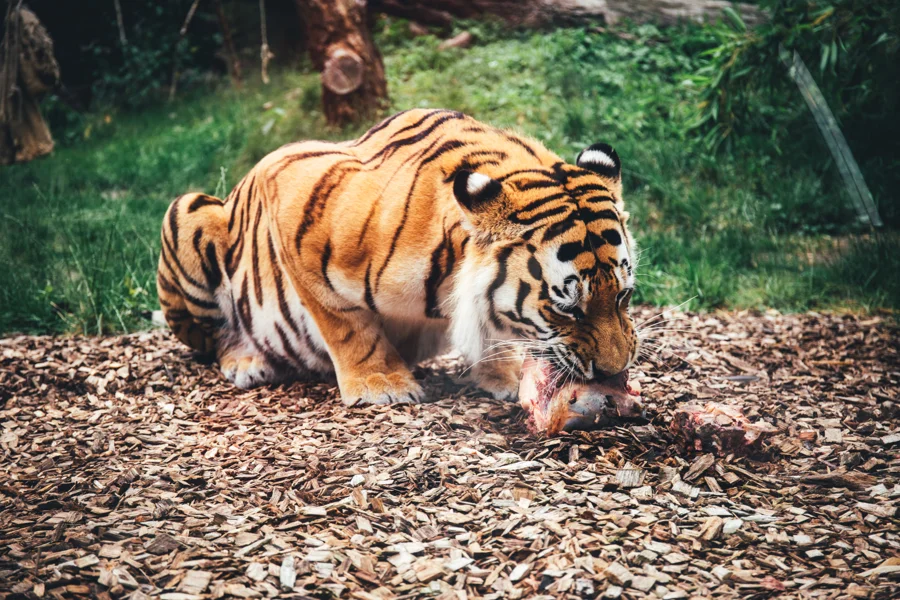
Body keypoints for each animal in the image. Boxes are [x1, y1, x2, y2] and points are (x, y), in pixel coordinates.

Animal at [157, 109, 639, 406]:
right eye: (567, 308)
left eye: (623, 296)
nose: (614, 371)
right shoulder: (290, 184)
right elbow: (347, 324)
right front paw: (380, 385)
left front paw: (503, 376)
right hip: (188, 210)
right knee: (212, 337)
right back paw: (247, 361)